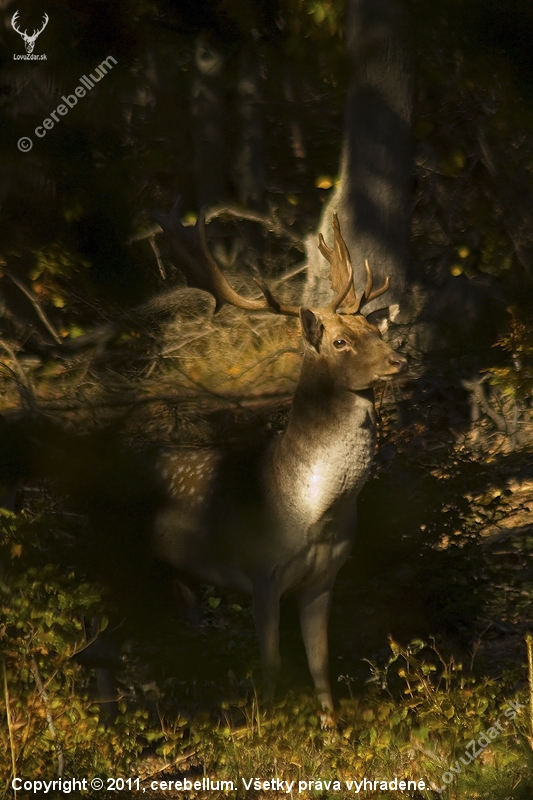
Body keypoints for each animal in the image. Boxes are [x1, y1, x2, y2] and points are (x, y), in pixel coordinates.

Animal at [153, 202, 407, 711]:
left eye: (374, 328)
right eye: (340, 341)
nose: (398, 361)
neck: (315, 513)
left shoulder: (324, 579)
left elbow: (320, 666)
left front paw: (330, 729)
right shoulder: (262, 575)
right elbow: (271, 668)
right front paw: (269, 724)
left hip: (182, 578)